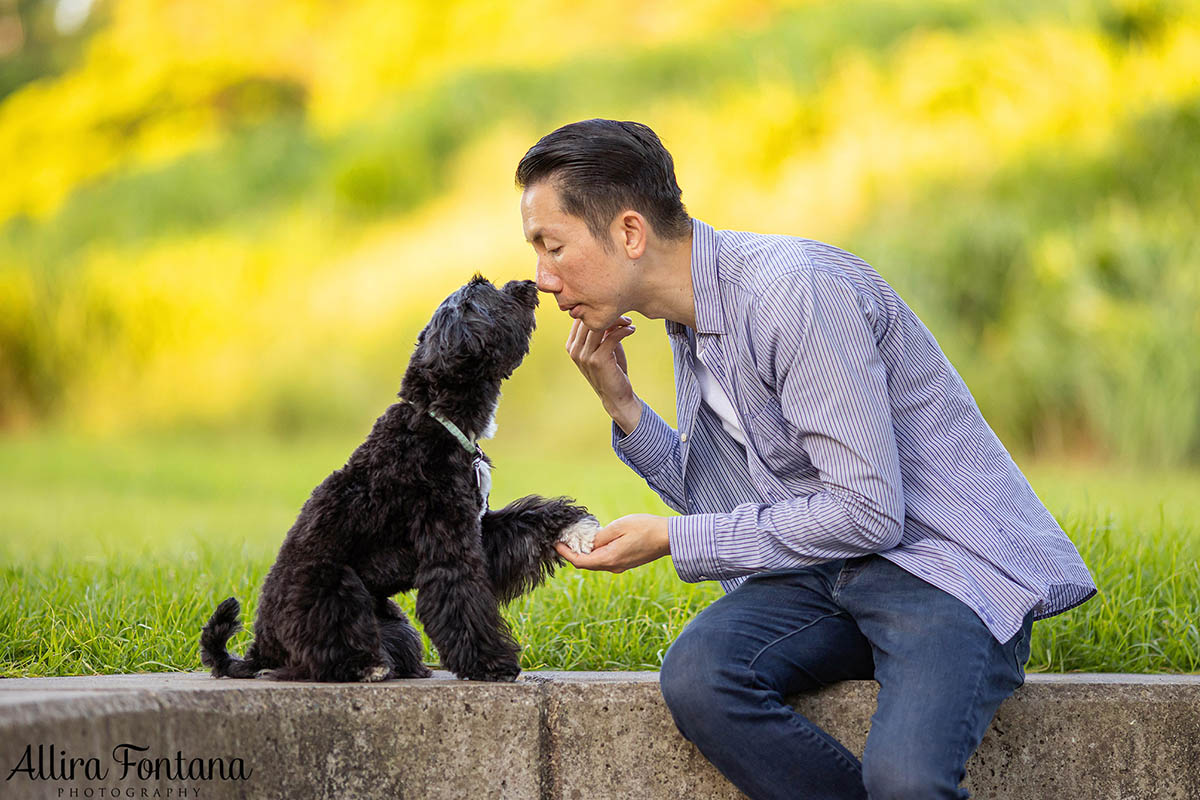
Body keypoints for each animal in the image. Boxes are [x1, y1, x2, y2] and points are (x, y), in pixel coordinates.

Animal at [204, 275, 600, 681]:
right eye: (483, 289)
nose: (526, 283)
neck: (436, 418)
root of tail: (260, 647)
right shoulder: (448, 547)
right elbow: (463, 603)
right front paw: (491, 664)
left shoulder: (479, 528)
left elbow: (528, 519)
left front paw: (577, 530)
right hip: (333, 588)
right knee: (315, 657)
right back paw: (365, 666)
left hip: (393, 622)